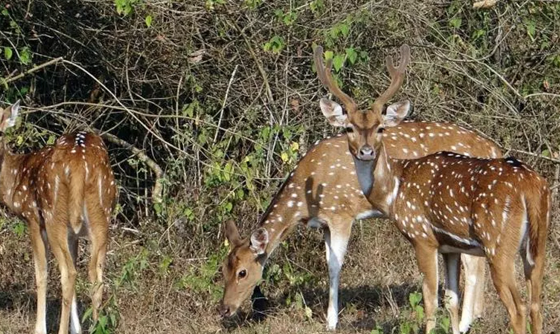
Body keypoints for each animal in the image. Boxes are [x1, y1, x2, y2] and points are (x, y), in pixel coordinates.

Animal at [0, 102, 117, 334]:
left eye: (0, 132)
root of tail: (80, 162)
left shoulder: (33, 219)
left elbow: (41, 272)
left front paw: (39, 329)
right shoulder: (73, 234)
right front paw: (77, 329)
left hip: (53, 215)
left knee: (68, 273)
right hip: (102, 214)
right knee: (95, 275)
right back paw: (95, 327)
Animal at [220, 111, 504, 328]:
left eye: (243, 272)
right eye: (224, 269)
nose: (224, 309)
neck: (305, 199)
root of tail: (493, 148)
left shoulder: (341, 213)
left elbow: (334, 266)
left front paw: (331, 322)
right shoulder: (325, 224)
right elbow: (329, 261)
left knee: (473, 264)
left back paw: (467, 322)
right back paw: (477, 315)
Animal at [316, 45, 552, 334]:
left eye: (380, 128)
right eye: (349, 127)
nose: (366, 151)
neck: (394, 190)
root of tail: (531, 186)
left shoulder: (422, 236)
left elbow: (429, 300)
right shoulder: (451, 247)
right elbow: (451, 299)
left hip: (498, 243)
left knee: (517, 308)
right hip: (538, 244)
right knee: (536, 305)